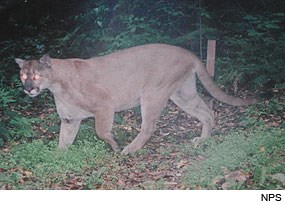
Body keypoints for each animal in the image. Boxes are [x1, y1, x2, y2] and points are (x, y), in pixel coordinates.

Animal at [15, 44, 255, 154]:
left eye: (35, 76)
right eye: (23, 76)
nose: (28, 89)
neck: (56, 85)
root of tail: (187, 52)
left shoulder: (105, 105)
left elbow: (100, 131)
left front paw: (114, 145)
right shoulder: (69, 119)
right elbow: (63, 142)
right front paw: (58, 157)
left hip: (152, 93)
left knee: (149, 126)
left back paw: (129, 149)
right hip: (182, 94)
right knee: (207, 112)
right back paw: (203, 139)